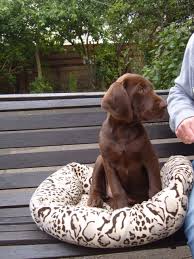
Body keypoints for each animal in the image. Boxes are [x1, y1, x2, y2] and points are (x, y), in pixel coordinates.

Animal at [87, 72, 166, 210]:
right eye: (141, 89)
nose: (164, 105)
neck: (124, 130)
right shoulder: (108, 164)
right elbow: (118, 191)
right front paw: (122, 208)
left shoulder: (149, 158)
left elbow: (154, 185)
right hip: (100, 160)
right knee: (95, 185)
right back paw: (94, 199)